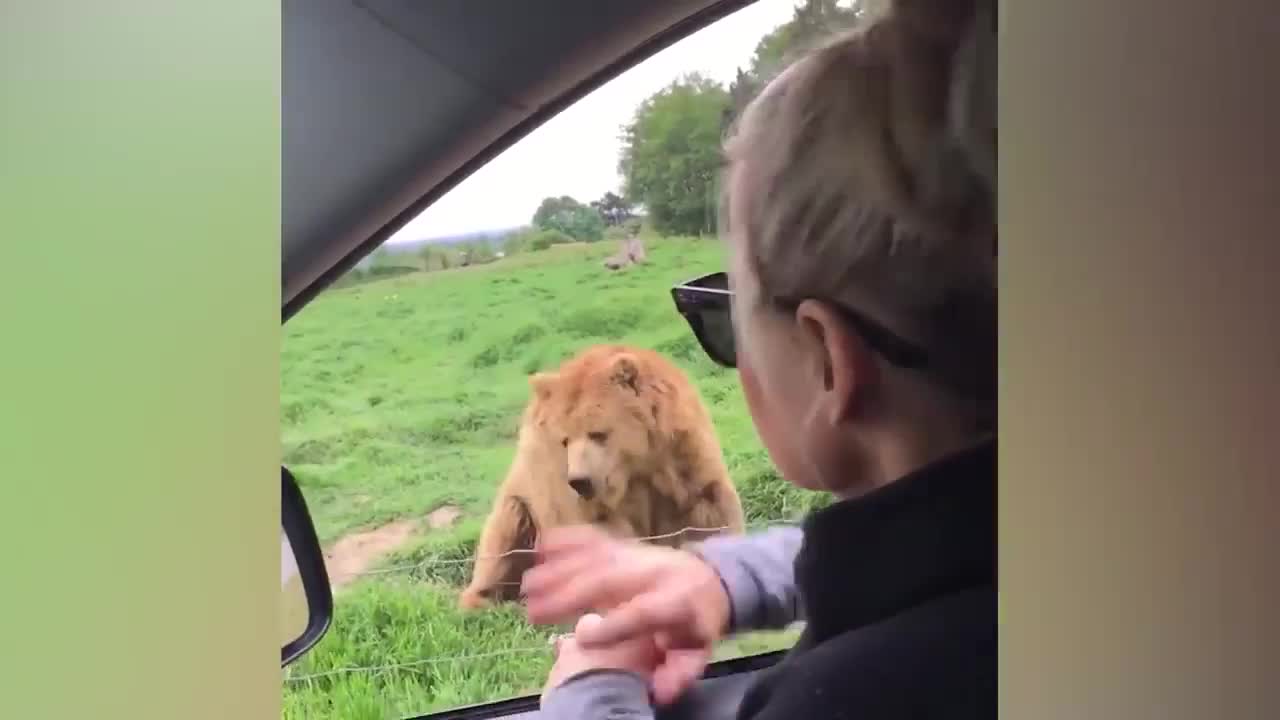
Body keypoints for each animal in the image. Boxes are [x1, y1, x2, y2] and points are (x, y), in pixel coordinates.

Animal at [460, 340, 747, 604]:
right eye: (564, 440)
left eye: (598, 433)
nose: (579, 481)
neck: (638, 464)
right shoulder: (576, 492)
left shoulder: (680, 454)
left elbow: (710, 506)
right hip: (525, 500)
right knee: (505, 536)